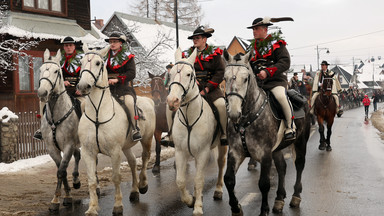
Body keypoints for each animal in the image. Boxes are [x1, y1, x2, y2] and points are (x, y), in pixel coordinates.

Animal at [36, 48, 82, 211]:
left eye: (56, 71)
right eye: (40, 70)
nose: (42, 92)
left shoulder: (68, 145)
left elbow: (61, 171)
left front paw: (58, 199)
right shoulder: (52, 148)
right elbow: (60, 170)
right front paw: (64, 196)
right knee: (78, 156)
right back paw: (76, 180)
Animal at [77, 44, 155, 216]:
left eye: (98, 63)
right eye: (81, 61)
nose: (83, 86)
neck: (98, 113)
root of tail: (149, 100)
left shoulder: (114, 151)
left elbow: (116, 177)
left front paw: (118, 206)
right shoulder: (88, 152)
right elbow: (92, 180)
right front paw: (92, 207)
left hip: (146, 139)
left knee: (145, 158)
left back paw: (143, 185)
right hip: (126, 147)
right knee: (132, 162)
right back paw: (134, 192)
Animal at [167, 48, 228, 215]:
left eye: (189, 74)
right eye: (171, 73)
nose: (172, 101)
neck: (190, 117)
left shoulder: (203, 153)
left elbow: (199, 180)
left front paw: (198, 207)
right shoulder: (181, 152)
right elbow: (180, 181)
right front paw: (190, 200)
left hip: (222, 146)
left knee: (221, 165)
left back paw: (218, 190)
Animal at [224, 51, 310, 216]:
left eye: (246, 79)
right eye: (225, 78)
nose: (233, 113)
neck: (247, 119)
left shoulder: (264, 153)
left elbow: (264, 183)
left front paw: (264, 210)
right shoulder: (235, 152)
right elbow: (229, 179)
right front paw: (236, 208)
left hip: (301, 141)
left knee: (299, 164)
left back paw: (295, 197)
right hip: (276, 149)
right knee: (282, 167)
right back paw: (279, 200)